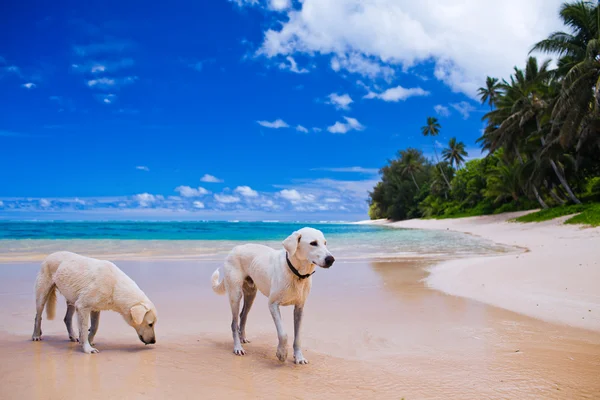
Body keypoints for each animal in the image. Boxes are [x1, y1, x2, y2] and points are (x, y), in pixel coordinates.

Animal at [211, 227, 336, 364]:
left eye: (325, 243)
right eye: (313, 243)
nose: (331, 259)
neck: (296, 274)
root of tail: (233, 249)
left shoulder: (299, 308)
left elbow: (298, 337)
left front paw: (299, 357)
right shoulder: (273, 305)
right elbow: (283, 333)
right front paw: (282, 353)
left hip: (251, 294)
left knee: (243, 315)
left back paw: (242, 338)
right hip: (235, 294)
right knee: (234, 323)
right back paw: (238, 347)